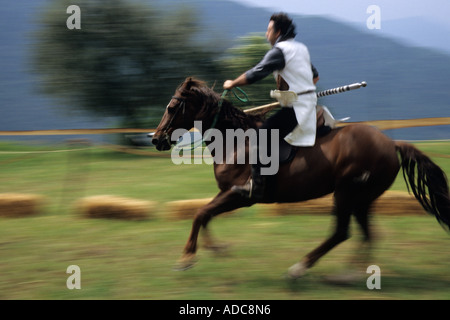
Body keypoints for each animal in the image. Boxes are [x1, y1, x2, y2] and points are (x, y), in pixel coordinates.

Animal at [152, 76, 450, 278]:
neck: (234, 141)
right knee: (366, 234)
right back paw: (348, 275)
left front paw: (186, 258)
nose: (156, 139)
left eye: (172, 107)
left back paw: (300, 268)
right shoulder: (227, 193)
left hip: (347, 193)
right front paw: (216, 249)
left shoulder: (241, 195)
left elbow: (200, 214)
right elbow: (204, 215)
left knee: (341, 232)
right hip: (363, 198)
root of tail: (391, 143)